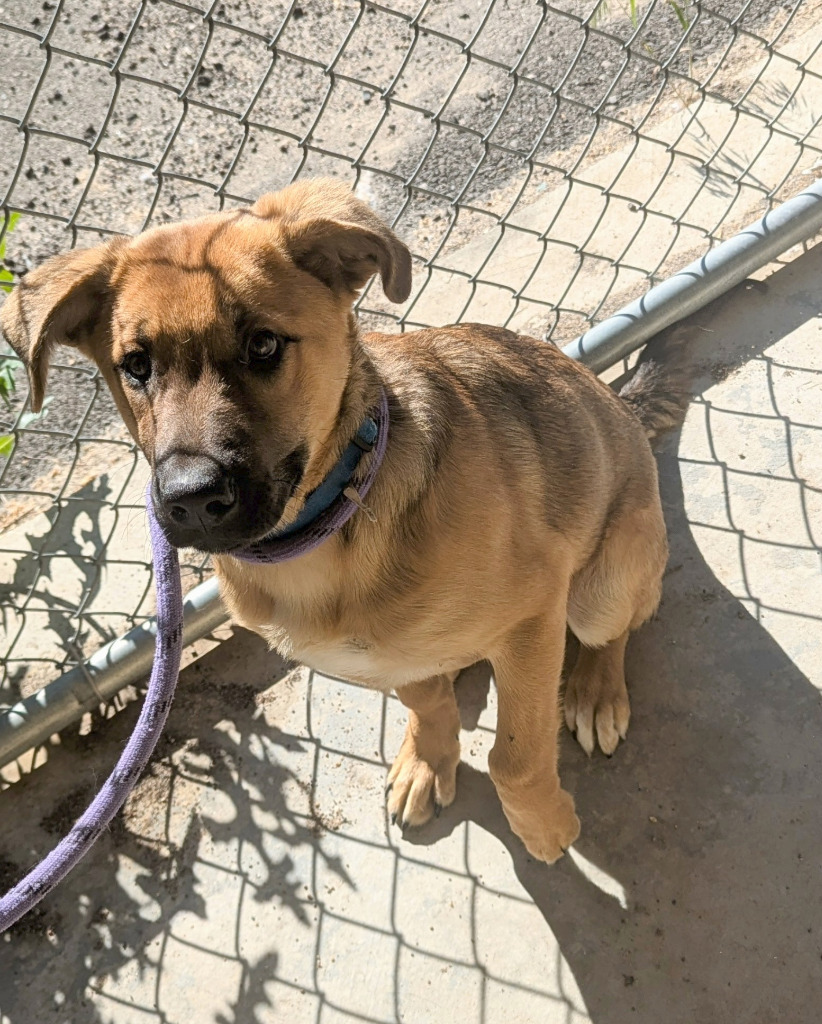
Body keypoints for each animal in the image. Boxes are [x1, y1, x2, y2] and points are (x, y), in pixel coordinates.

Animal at [0, 180, 687, 860]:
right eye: (137, 366)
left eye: (263, 345)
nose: (190, 499)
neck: (325, 533)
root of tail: (622, 406)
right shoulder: (388, 659)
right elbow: (428, 702)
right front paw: (428, 761)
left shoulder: (532, 618)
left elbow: (514, 757)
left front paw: (543, 826)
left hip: (601, 587)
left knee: (611, 631)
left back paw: (596, 692)